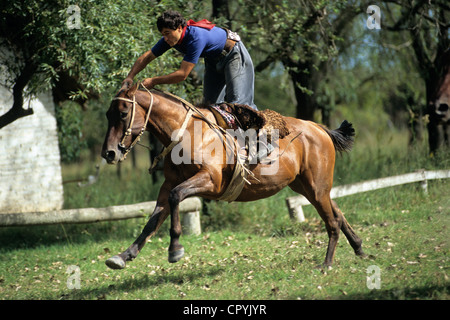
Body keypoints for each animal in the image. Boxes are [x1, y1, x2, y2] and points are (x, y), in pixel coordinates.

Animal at [100, 84, 364, 268]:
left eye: (123, 113)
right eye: (107, 114)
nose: (109, 153)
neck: (189, 133)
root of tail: (320, 128)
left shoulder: (210, 181)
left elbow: (176, 197)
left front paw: (175, 248)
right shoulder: (168, 184)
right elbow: (153, 219)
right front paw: (124, 255)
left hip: (317, 187)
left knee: (332, 221)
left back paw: (327, 263)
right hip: (307, 187)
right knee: (337, 213)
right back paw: (359, 248)